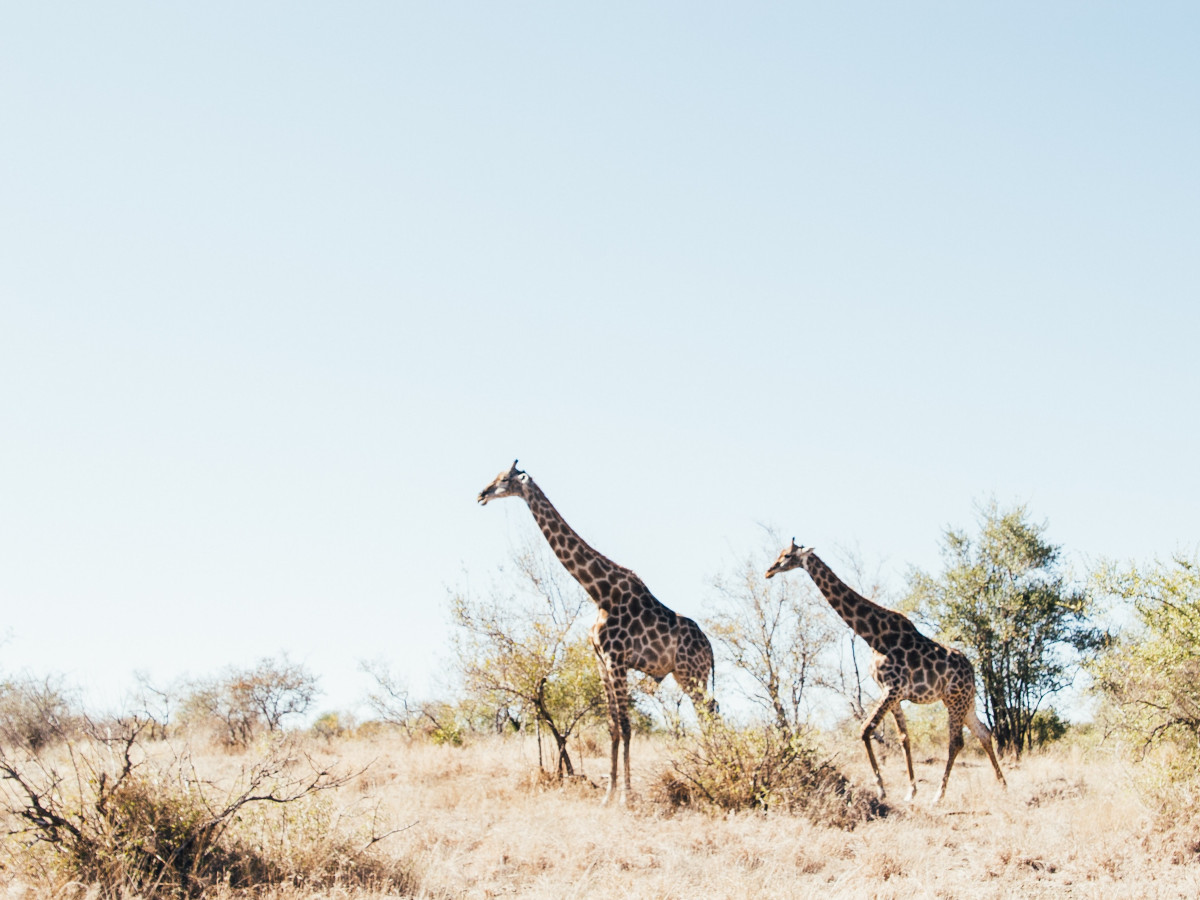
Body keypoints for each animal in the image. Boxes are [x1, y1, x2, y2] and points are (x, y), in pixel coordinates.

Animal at [477, 460, 715, 806]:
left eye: (504, 479)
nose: (481, 494)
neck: (600, 592)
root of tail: (711, 649)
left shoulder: (617, 658)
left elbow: (627, 726)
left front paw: (626, 797)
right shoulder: (601, 660)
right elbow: (613, 727)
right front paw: (608, 794)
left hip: (691, 673)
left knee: (709, 713)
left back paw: (716, 768)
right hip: (687, 675)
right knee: (710, 712)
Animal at [768, 540, 1003, 806]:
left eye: (787, 556)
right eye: (780, 554)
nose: (769, 571)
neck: (873, 635)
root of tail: (972, 671)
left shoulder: (893, 689)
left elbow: (865, 730)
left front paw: (881, 789)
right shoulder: (893, 693)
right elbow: (904, 738)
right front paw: (910, 791)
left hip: (955, 700)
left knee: (956, 742)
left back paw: (939, 795)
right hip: (965, 701)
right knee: (984, 733)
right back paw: (1002, 784)